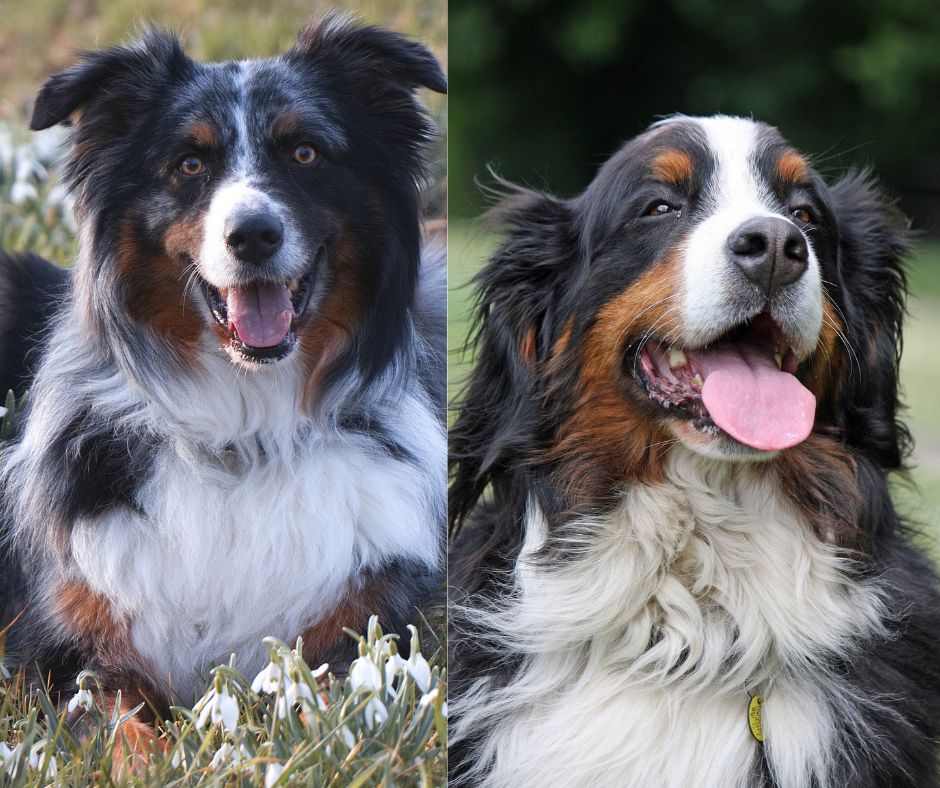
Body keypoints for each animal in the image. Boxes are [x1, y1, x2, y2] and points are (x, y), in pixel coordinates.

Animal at [0, 15, 448, 732]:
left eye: (305, 153)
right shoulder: (74, 654)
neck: (245, 434)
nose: (254, 235)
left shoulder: (354, 629)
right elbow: (122, 731)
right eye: (189, 164)